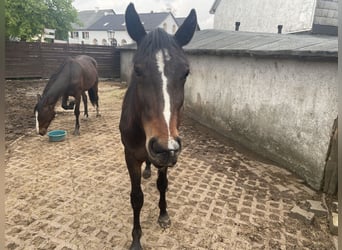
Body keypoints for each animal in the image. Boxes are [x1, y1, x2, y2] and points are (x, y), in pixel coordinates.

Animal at [120, 3, 196, 250]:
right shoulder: (130, 156)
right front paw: (136, 239)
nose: (163, 146)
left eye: (186, 72)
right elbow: (136, 198)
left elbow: (162, 184)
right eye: (137, 70)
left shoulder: (167, 154)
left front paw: (163, 214)